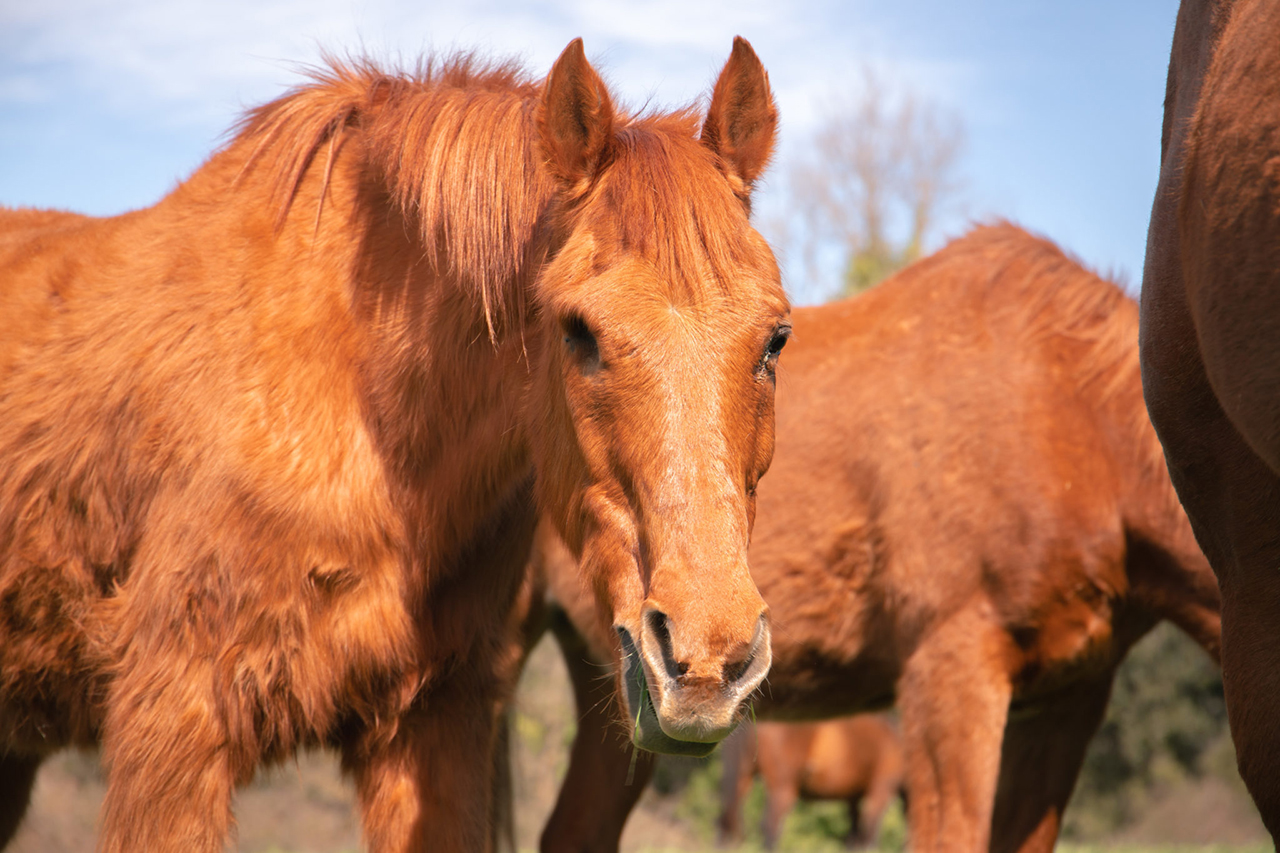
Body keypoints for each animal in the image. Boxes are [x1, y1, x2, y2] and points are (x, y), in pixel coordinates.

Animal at [716, 712, 906, 845]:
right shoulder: (880, 791)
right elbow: (867, 836)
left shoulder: (853, 798)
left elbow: (853, 838)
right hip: (782, 790)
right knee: (769, 826)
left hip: (742, 780)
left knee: (725, 824)